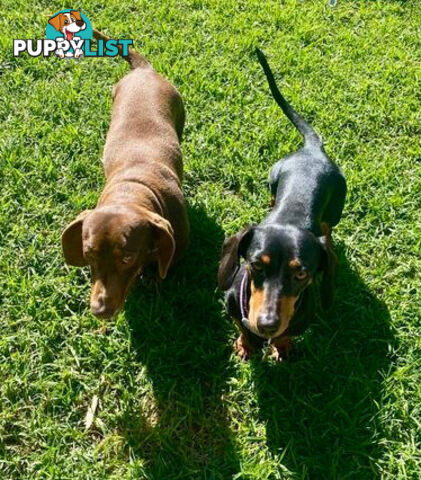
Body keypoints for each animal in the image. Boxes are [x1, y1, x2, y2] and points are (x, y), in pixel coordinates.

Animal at [217, 49, 344, 360]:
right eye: (255, 265)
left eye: (301, 273)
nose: (266, 324)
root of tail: (313, 149)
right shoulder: (232, 306)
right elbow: (241, 327)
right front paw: (246, 344)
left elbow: (288, 334)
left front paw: (282, 345)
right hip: (273, 177)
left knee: (328, 225)